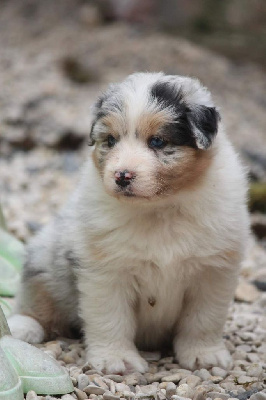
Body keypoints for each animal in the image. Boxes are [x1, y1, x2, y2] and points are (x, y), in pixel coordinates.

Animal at [8, 71, 249, 372]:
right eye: (111, 140)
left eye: (157, 141)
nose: (122, 175)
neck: (160, 209)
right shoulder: (107, 273)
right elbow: (111, 319)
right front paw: (117, 359)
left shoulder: (213, 272)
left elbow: (203, 320)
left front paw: (204, 355)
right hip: (44, 259)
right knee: (35, 299)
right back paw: (22, 327)